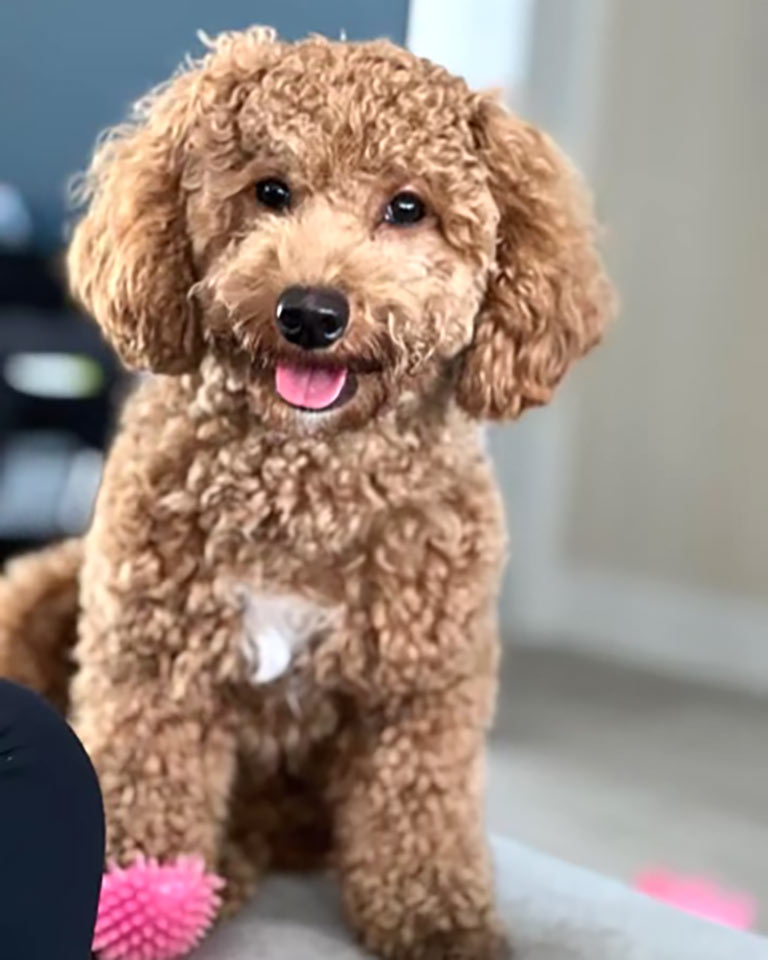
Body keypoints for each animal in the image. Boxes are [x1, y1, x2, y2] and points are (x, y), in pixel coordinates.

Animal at [0, 26, 612, 960]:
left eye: (408, 207)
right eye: (271, 191)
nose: (312, 313)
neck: (308, 479)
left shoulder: (423, 689)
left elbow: (420, 816)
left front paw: (441, 923)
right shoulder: (153, 666)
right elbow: (141, 784)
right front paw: (129, 896)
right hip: (40, 586)